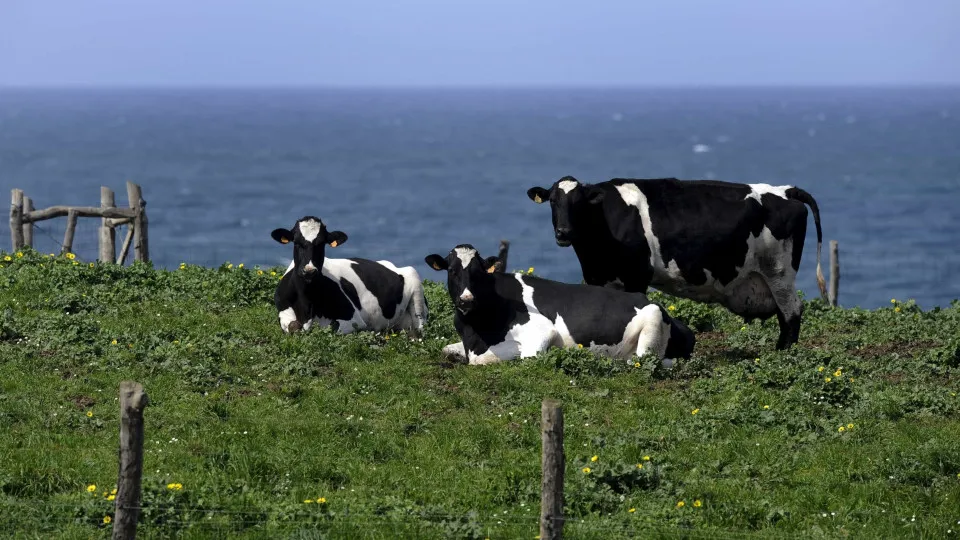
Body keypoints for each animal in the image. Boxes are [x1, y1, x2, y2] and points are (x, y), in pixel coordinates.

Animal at [276, 216, 430, 336]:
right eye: (296, 242)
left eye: (321, 243)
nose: (309, 270)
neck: (307, 305)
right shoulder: (283, 313)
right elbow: (293, 326)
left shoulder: (354, 319)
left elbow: (333, 327)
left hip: (415, 284)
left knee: (420, 327)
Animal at [424, 246, 692, 368]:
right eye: (452, 271)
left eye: (478, 272)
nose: (466, 300)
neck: (475, 332)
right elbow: (447, 349)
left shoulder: (541, 332)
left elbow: (522, 356)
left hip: (652, 322)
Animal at [524, 175, 824, 348]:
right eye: (553, 201)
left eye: (579, 202)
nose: (563, 232)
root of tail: (786, 191)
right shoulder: (596, 277)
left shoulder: (636, 276)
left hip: (779, 271)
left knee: (791, 313)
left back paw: (782, 354)